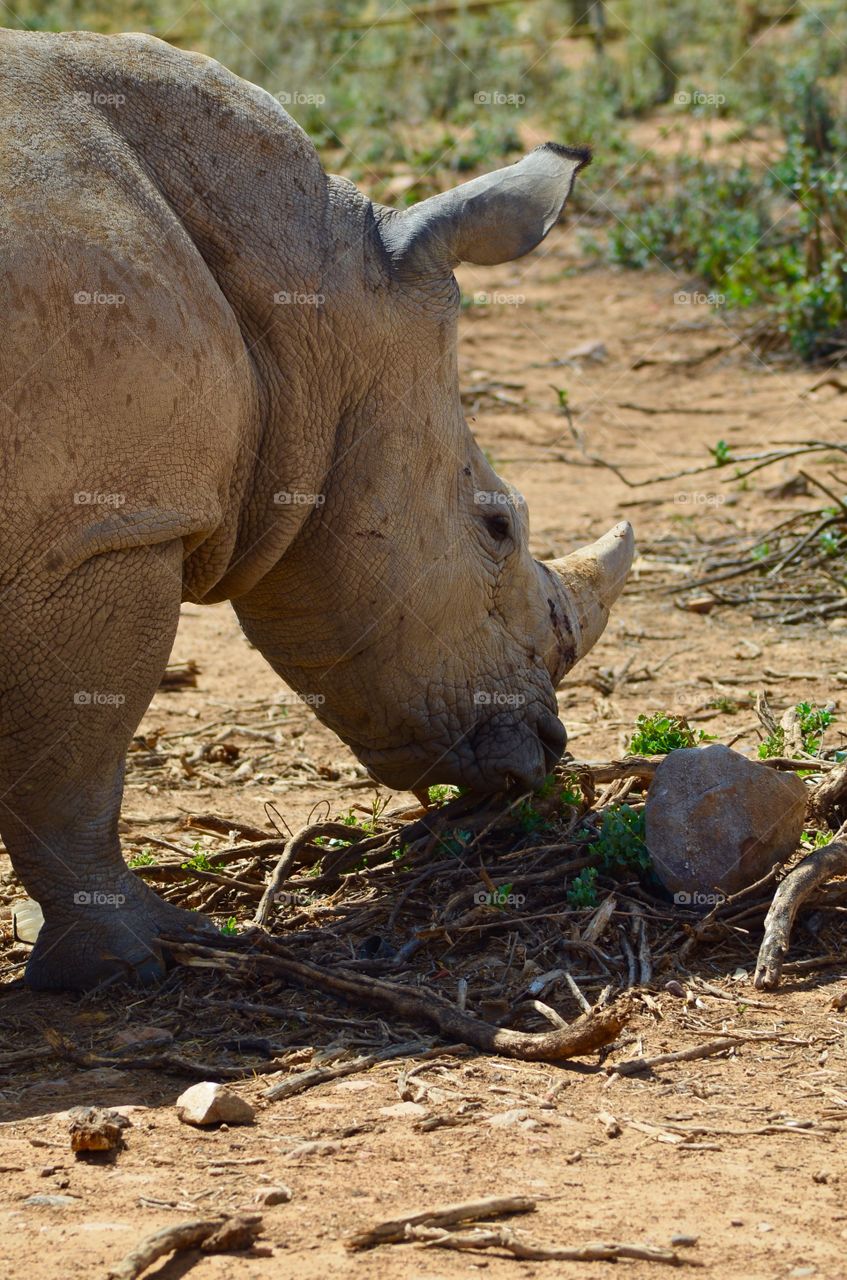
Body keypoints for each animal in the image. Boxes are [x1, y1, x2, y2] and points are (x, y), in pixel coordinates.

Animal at [1, 30, 637, 988]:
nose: (551, 749)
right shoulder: (102, 531)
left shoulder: (67, 531)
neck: (300, 283)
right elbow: (73, 770)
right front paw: (138, 959)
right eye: (496, 526)